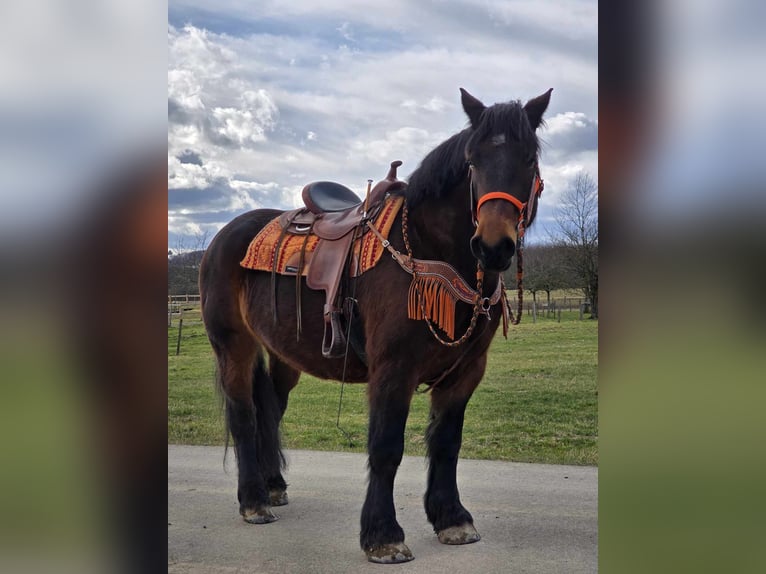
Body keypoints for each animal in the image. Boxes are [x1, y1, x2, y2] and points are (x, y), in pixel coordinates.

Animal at [200, 88, 552, 564]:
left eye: (529, 159)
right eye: (472, 160)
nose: (493, 246)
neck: (427, 247)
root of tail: (225, 235)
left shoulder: (465, 373)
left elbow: (447, 443)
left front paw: (451, 518)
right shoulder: (393, 368)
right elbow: (386, 447)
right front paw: (382, 534)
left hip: (281, 354)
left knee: (270, 408)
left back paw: (273, 487)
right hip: (233, 347)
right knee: (243, 415)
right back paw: (253, 500)